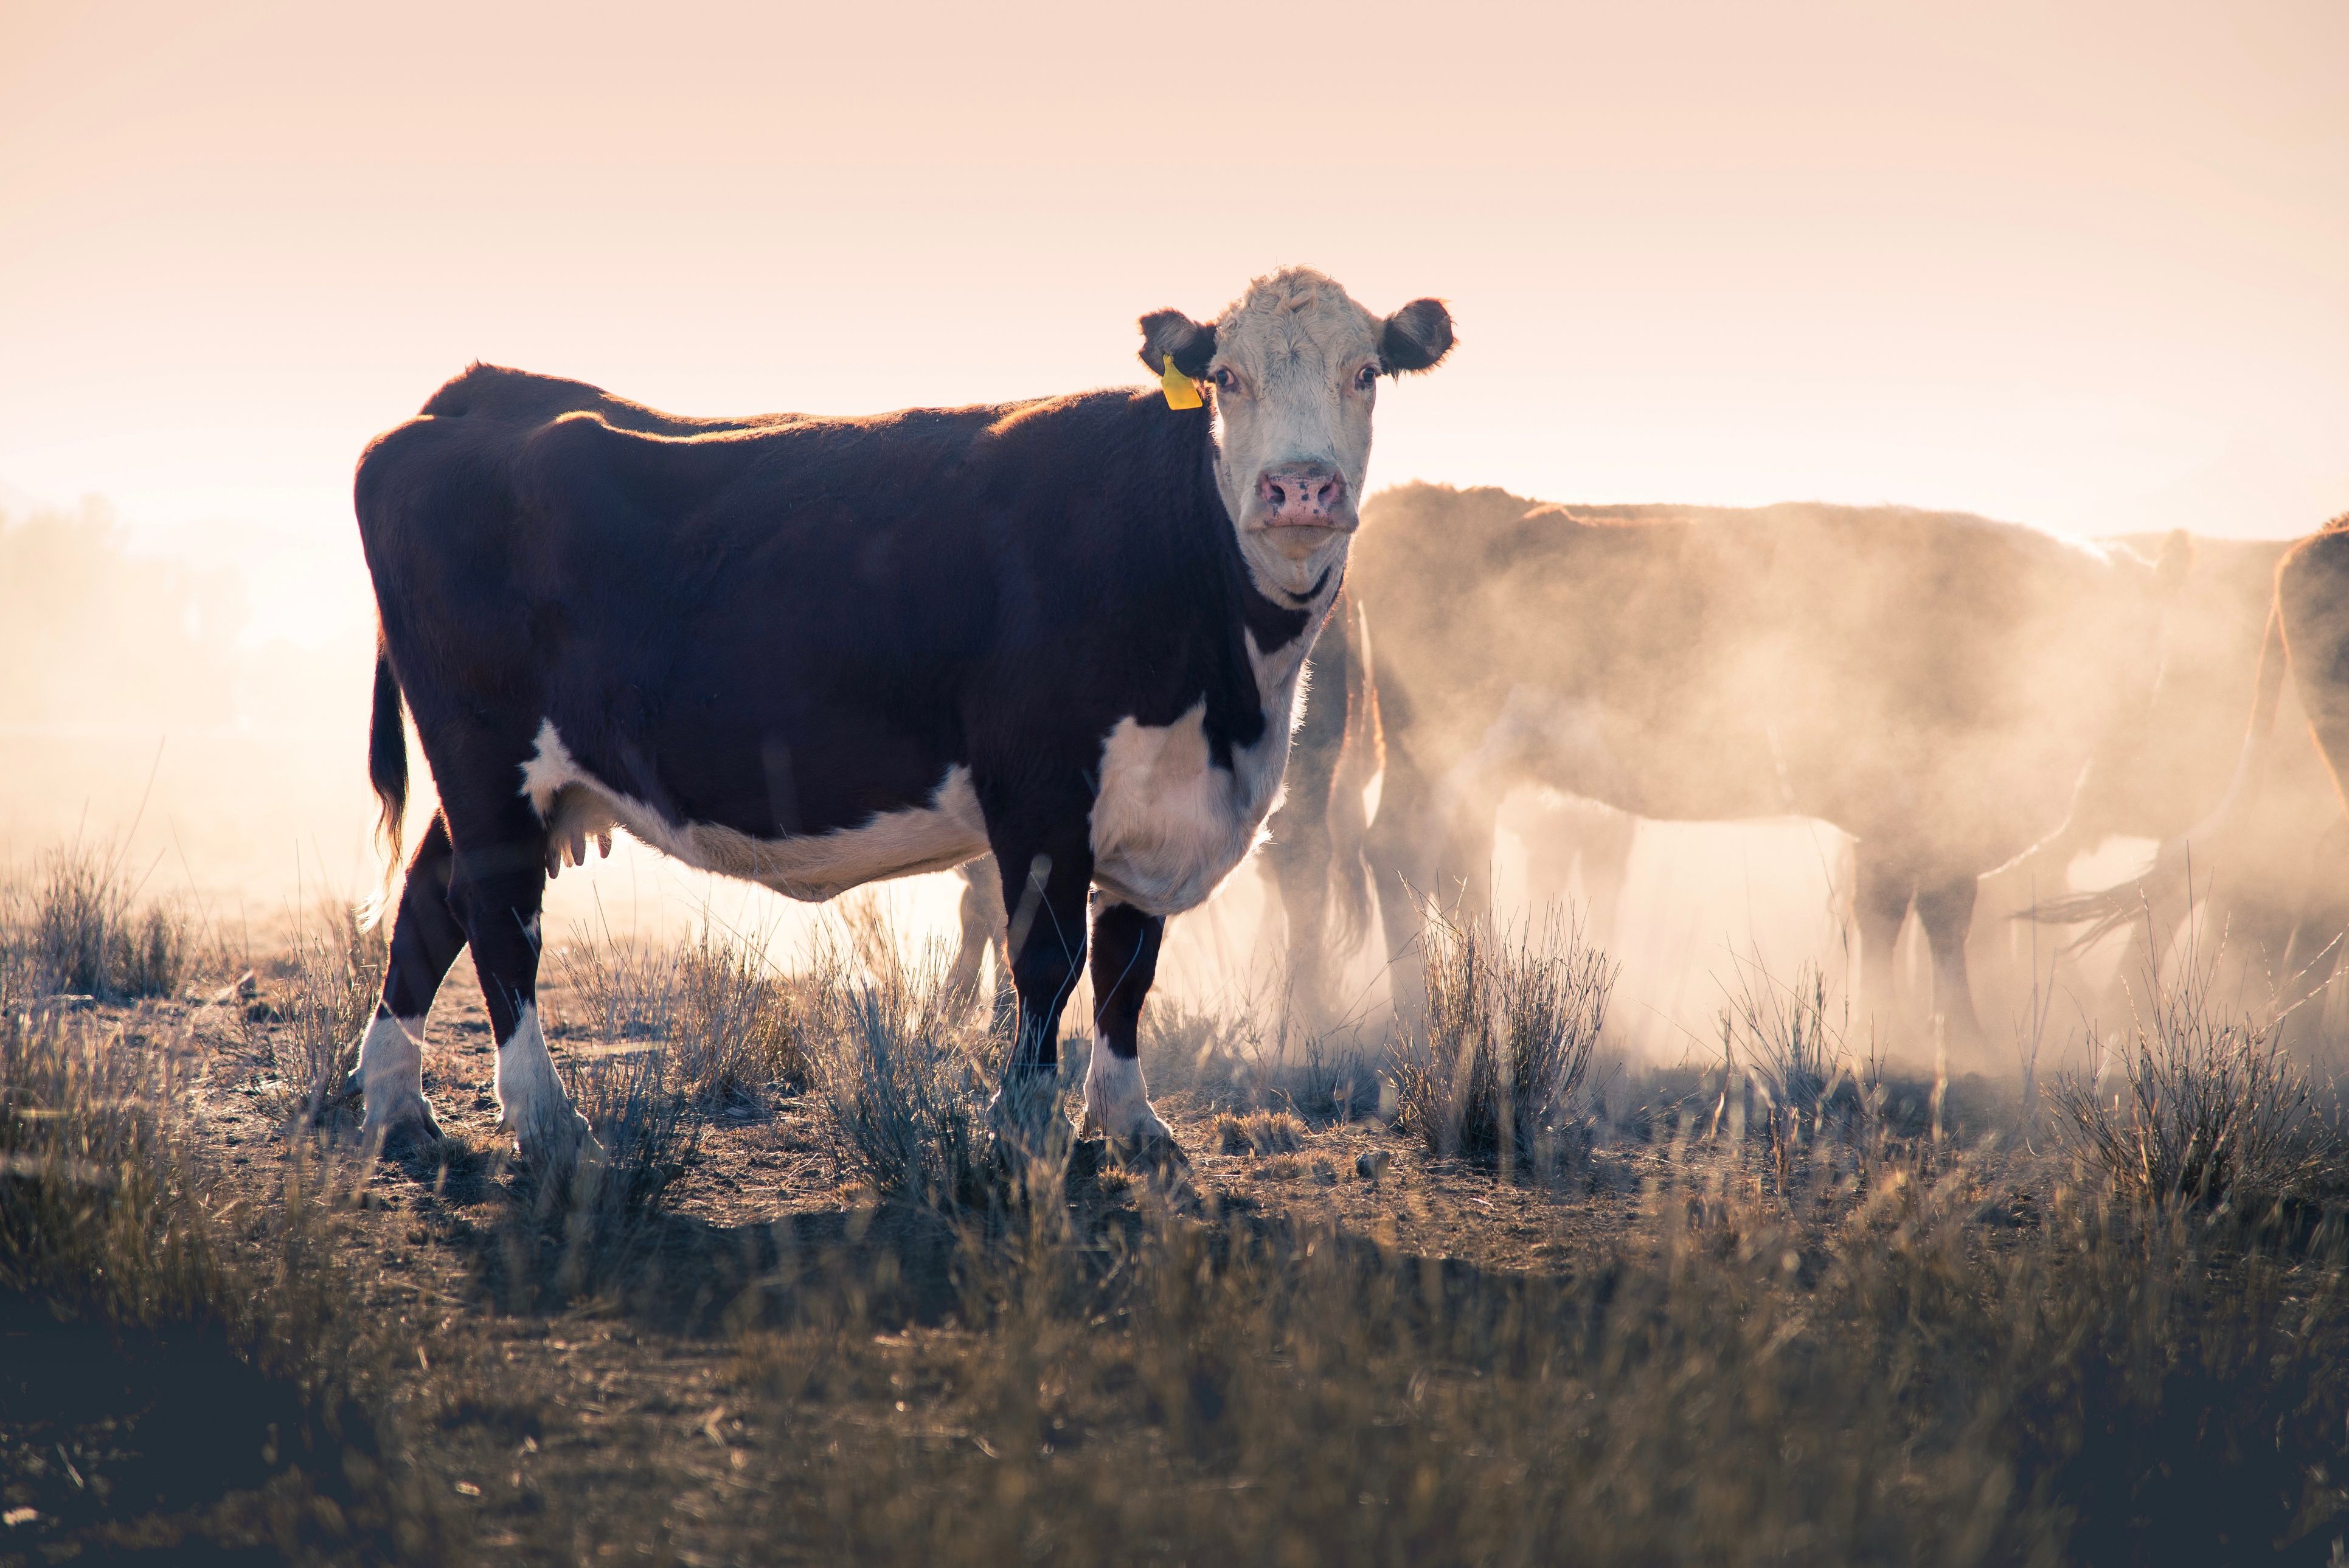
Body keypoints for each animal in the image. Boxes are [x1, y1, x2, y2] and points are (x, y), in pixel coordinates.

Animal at [342, 267, 1453, 1162]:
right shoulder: (1040, 791)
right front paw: (1025, 1126)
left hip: (520, 773)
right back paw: (545, 1120)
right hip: (485, 748)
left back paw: (396, 1101)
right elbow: (1048, 961)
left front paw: (1133, 1124)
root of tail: (483, 392)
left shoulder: (1154, 809)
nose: (1299, 487)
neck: (1231, 700)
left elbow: (1128, 970)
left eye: (1366, 372)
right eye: (1226, 377)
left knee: (432, 896)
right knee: (496, 910)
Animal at [1324, 486, 2185, 1049]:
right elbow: (1910, 914)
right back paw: (1418, 1016)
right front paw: (1925, 1035)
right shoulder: (1916, 807)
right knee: (1398, 852)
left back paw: (1491, 998)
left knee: (1454, 870)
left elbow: (1919, 916)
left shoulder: (1920, 821)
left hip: (1472, 771)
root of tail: (1420, 496)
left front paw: (1929, 1029)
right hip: (1439, 744)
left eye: (2153, 631)